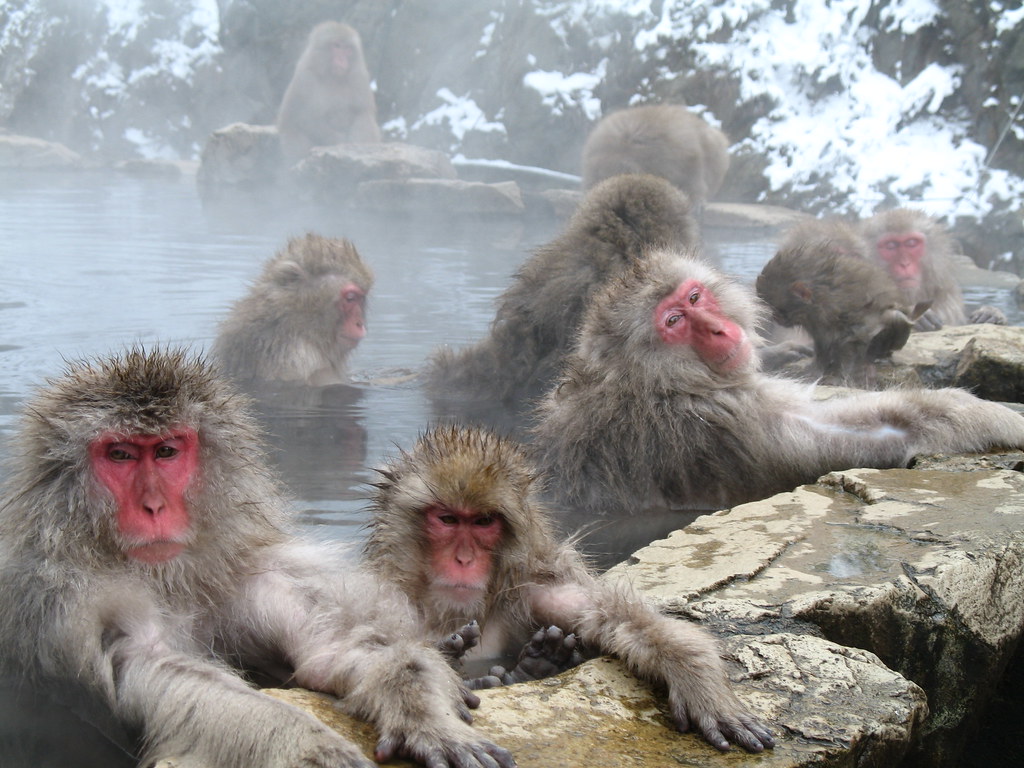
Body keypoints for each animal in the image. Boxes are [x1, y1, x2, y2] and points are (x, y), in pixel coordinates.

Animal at [0, 348, 512, 768]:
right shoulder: (65, 600)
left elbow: (335, 649)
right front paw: (310, 748)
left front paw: (427, 719)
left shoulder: (251, 578)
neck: (171, 579)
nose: (153, 507)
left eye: (166, 451)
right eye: (121, 455)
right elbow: (151, 669)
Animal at [364, 428, 770, 757]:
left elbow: (613, 615)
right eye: (447, 519)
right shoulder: (381, 594)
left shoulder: (536, 589)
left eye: (483, 521)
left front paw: (695, 674)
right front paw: (426, 715)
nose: (464, 559)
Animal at [532, 249, 1024, 520]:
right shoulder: (716, 420)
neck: (647, 380)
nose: (717, 328)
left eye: (695, 297)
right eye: (673, 321)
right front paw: (995, 416)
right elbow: (883, 432)